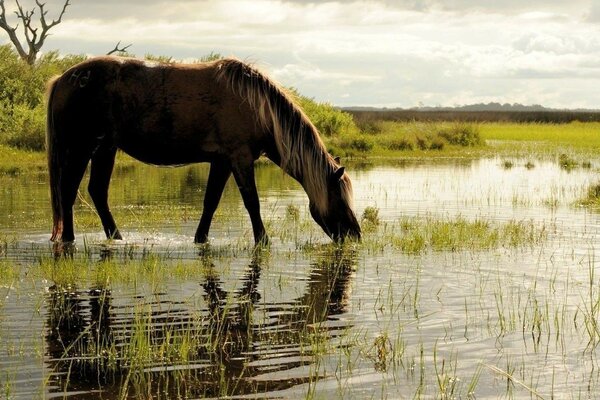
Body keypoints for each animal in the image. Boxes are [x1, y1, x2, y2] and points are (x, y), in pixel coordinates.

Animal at [45, 55, 360, 244]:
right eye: (339, 197)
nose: (355, 234)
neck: (256, 105)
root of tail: (62, 79)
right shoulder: (240, 159)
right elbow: (252, 202)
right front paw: (263, 241)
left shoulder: (221, 162)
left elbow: (210, 202)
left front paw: (201, 239)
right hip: (82, 148)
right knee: (69, 190)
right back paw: (70, 239)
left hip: (105, 149)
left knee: (96, 192)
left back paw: (115, 237)